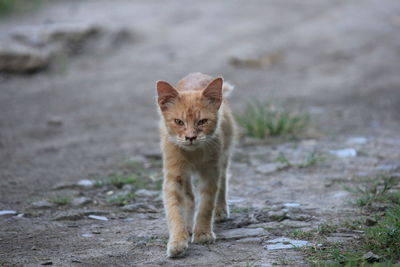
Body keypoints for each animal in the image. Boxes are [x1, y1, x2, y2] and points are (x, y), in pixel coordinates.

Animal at [155, 73, 236, 258]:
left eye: (202, 121)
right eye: (179, 122)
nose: (190, 137)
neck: (193, 154)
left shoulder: (211, 172)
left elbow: (206, 204)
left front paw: (203, 233)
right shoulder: (173, 176)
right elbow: (174, 209)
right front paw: (177, 240)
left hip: (224, 155)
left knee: (223, 182)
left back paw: (220, 210)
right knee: (189, 196)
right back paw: (188, 222)